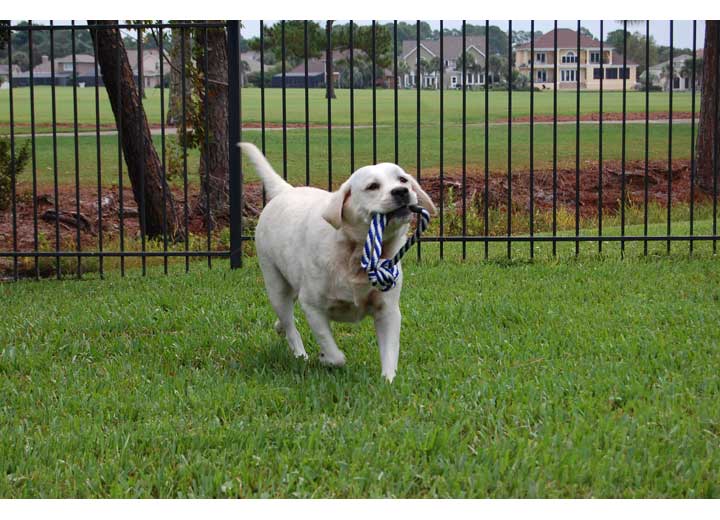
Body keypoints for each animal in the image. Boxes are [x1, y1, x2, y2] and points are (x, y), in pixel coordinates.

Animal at [239, 143, 436, 382]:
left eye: (403, 179)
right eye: (372, 186)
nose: (401, 191)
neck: (354, 256)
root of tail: (286, 190)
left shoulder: (388, 311)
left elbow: (390, 353)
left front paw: (388, 382)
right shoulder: (313, 307)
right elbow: (334, 353)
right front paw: (326, 358)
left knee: (285, 318)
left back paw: (280, 328)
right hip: (276, 286)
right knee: (290, 324)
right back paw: (300, 353)